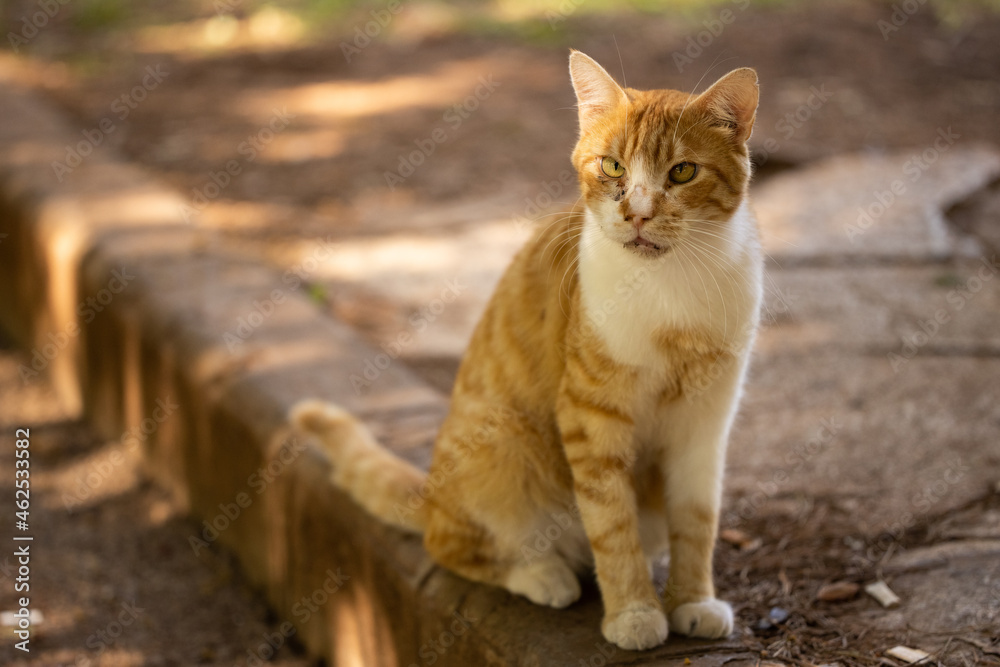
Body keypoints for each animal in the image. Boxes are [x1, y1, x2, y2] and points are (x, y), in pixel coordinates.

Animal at [292, 52, 760, 652]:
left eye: (682, 172)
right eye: (612, 167)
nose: (636, 213)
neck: (673, 288)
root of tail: (432, 495)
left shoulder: (705, 423)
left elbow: (698, 522)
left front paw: (692, 602)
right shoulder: (590, 417)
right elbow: (613, 526)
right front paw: (634, 612)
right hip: (501, 442)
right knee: (453, 547)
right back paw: (543, 574)